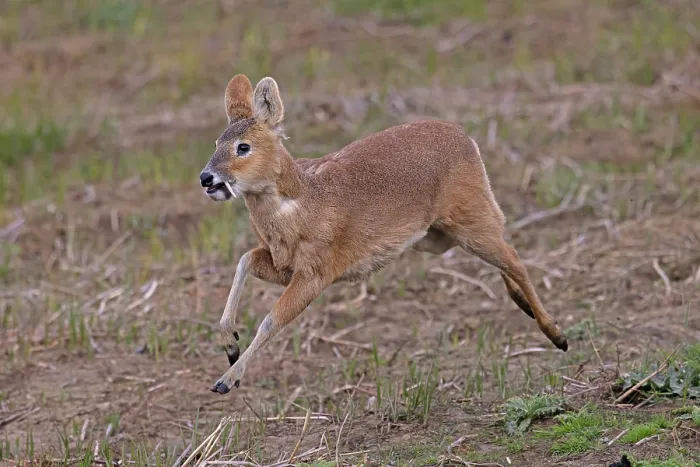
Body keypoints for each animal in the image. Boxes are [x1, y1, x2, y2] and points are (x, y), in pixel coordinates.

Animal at [199, 74, 569, 394]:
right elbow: (245, 260)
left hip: (469, 216)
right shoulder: (284, 265)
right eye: (216, 141)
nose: (206, 178)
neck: (303, 202)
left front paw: (227, 379)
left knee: (513, 257)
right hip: (437, 236)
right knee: (504, 253)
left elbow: (271, 320)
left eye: (243, 147)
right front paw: (229, 344)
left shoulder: (317, 270)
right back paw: (525, 306)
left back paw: (557, 334)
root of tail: (467, 138)